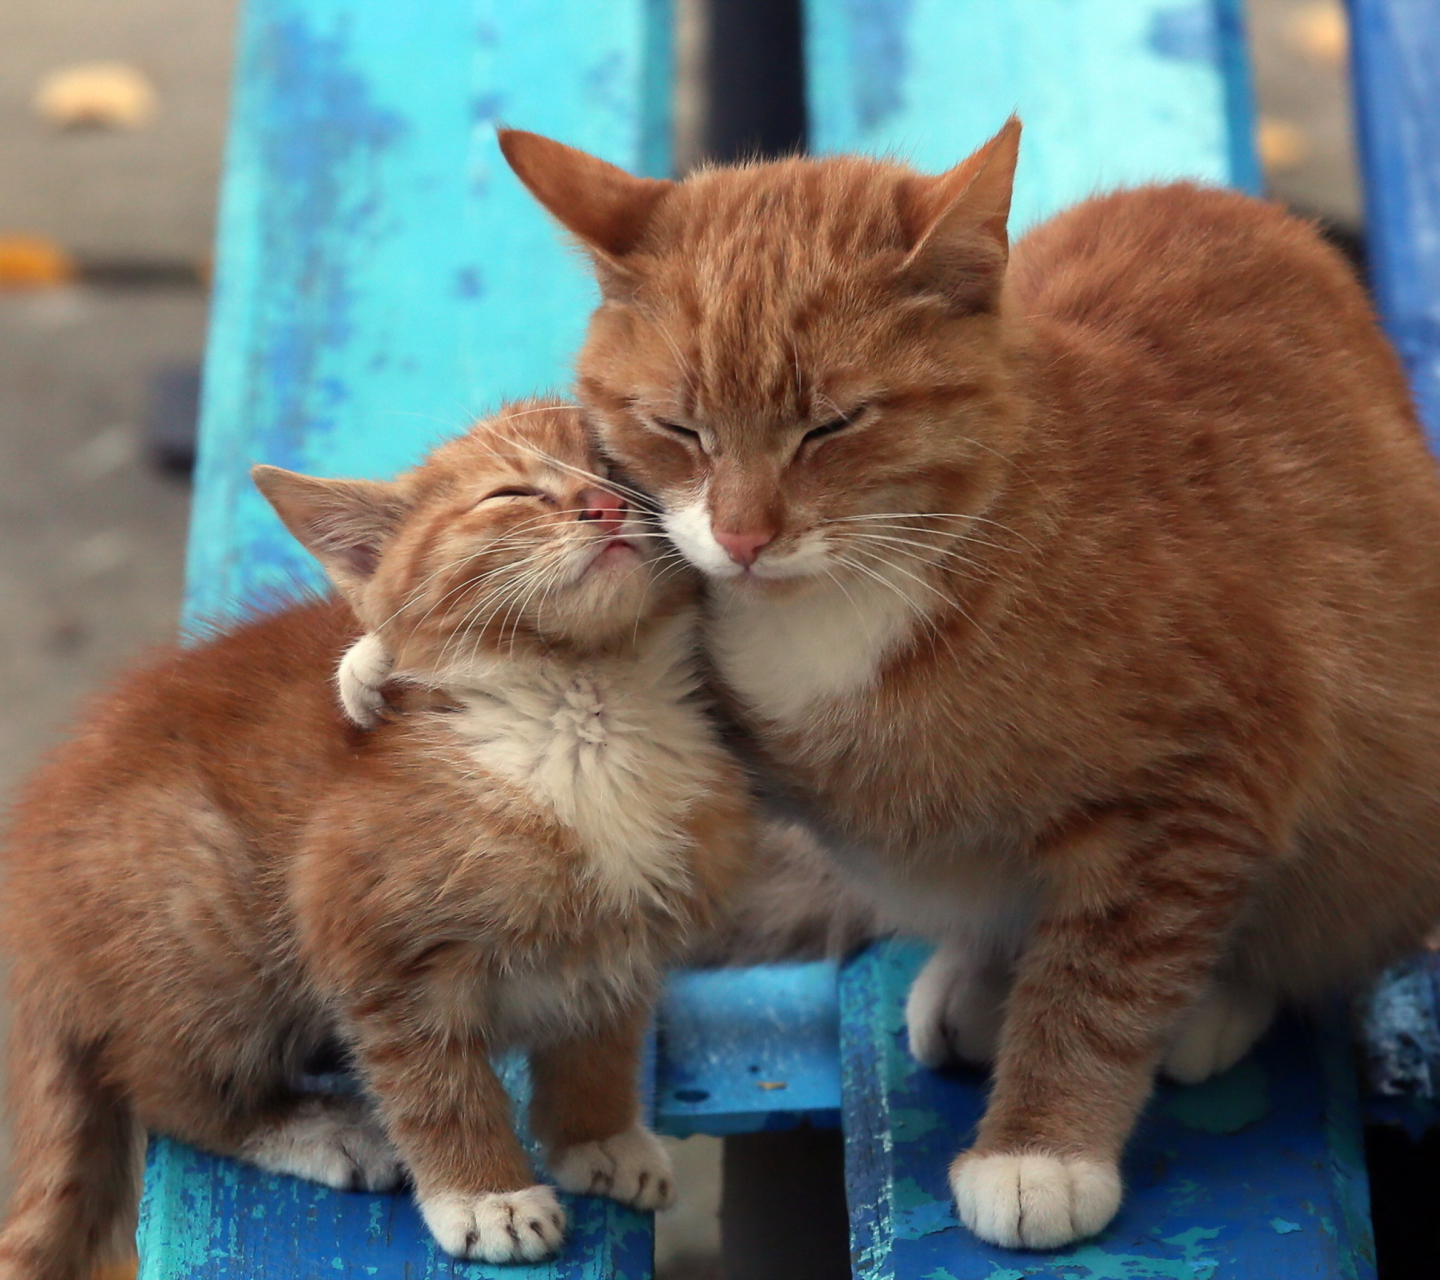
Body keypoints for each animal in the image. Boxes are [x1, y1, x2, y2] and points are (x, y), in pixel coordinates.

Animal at [2, 400, 754, 1278]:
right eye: (511, 494)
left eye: (617, 467)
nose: (602, 505)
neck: (585, 711)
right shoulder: (370, 935)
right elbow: (436, 1084)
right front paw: (486, 1194)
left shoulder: (627, 935)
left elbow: (600, 1041)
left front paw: (595, 1134)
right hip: (207, 911)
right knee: (160, 1085)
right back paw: (316, 1126)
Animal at [478, 124, 1440, 1244]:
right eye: (680, 429)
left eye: (833, 425)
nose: (744, 538)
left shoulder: (1206, 781)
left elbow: (1106, 976)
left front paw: (1044, 1148)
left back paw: (1209, 1002)